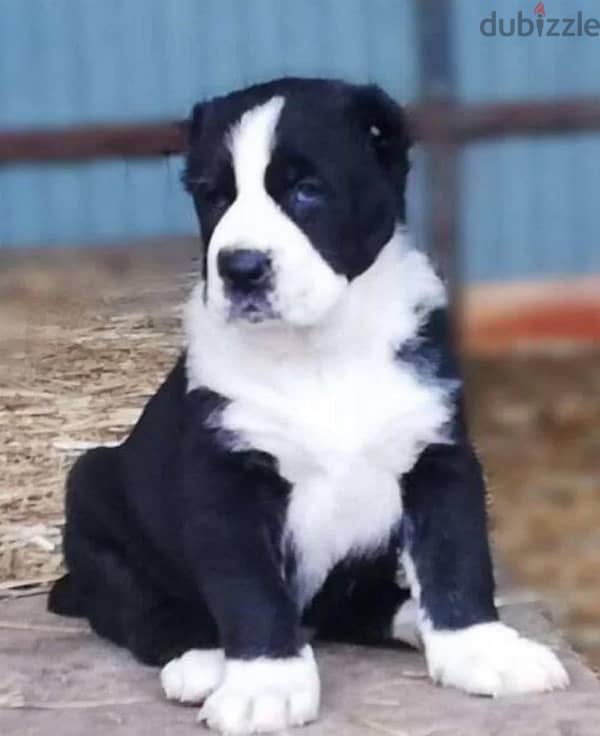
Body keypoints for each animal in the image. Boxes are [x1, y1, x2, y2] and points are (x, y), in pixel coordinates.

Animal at [48, 76, 568, 736]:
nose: (240, 268)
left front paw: (480, 649)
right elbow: (250, 589)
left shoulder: (439, 457)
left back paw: (408, 620)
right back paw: (201, 657)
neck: (322, 348)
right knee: (133, 609)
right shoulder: (226, 482)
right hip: (91, 492)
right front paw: (265, 684)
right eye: (214, 196)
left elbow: (457, 559)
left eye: (306, 190)